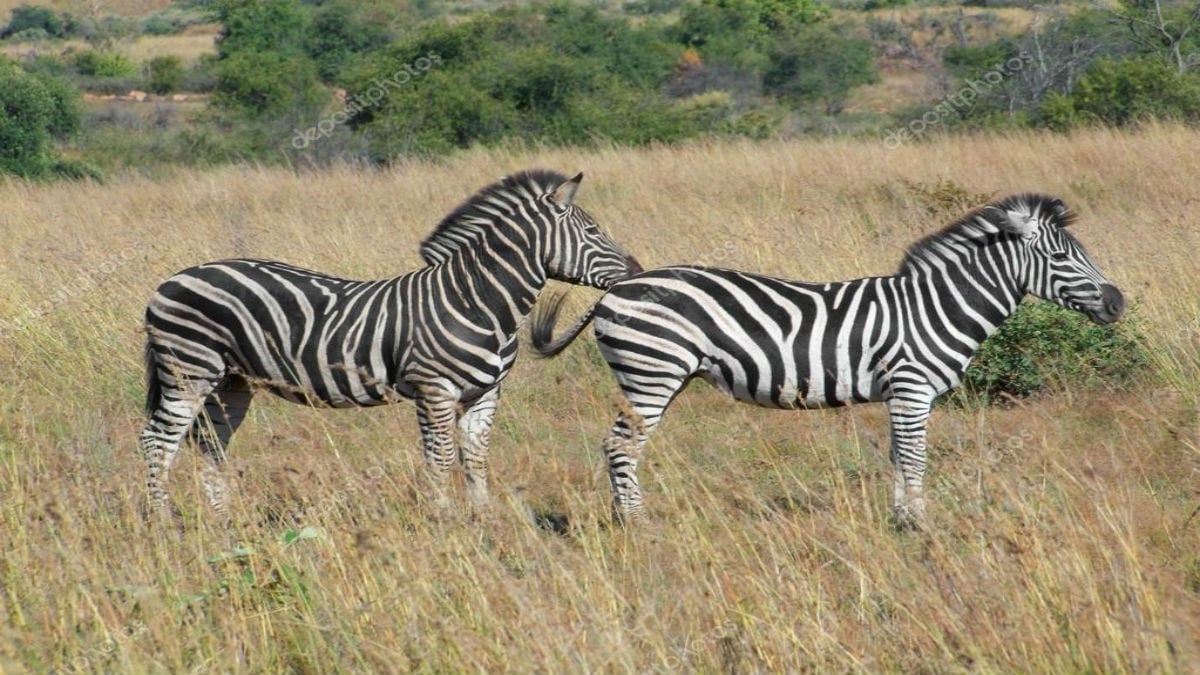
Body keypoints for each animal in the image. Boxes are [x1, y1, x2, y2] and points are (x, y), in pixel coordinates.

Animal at [140, 170, 643, 516]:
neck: (478, 301)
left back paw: (222, 522)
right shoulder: (434, 390)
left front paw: (484, 521)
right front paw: (444, 522)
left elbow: (476, 459)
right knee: (156, 443)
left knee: (208, 445)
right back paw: (161, 522)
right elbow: (441, 460)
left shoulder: (486, 394)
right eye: (594, 232)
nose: (638, 270)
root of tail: (171, 280)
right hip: (189, 372)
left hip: (231, 383)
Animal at [535, 192, 1123, 523]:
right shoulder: (912, 388)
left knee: (620, 446)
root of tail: (618, 287)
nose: (1118, 302)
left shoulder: (900, 395)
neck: (934, 307)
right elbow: (916, 458)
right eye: (1061, 256)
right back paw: (634, 523)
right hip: (651, 375)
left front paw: (901, 519)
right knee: (620, 446)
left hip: (659, 376)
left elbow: (898, 457)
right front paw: (920, 526)